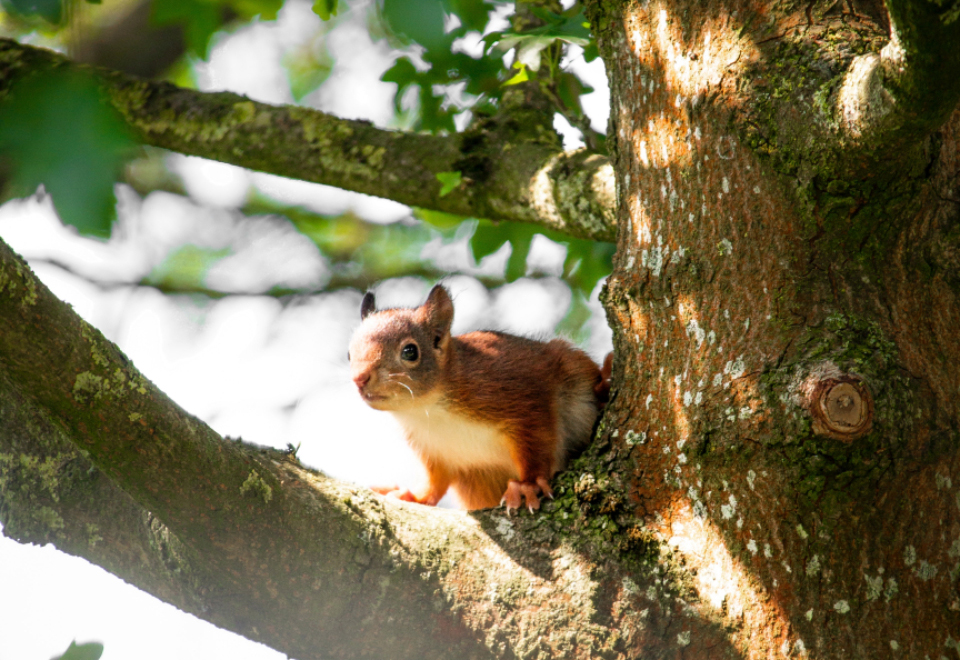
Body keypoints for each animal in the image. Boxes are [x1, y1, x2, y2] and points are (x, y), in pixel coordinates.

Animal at [348, 286, 612, 512]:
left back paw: (604, 383)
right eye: (349, 353)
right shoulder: (432, 448)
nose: (359, 378)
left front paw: (527, 485)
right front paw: (413, 496)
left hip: (570, 365)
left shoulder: (521, 395)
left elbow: (537, 441)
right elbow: (436, 481)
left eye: (410, 351)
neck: (427, 408)